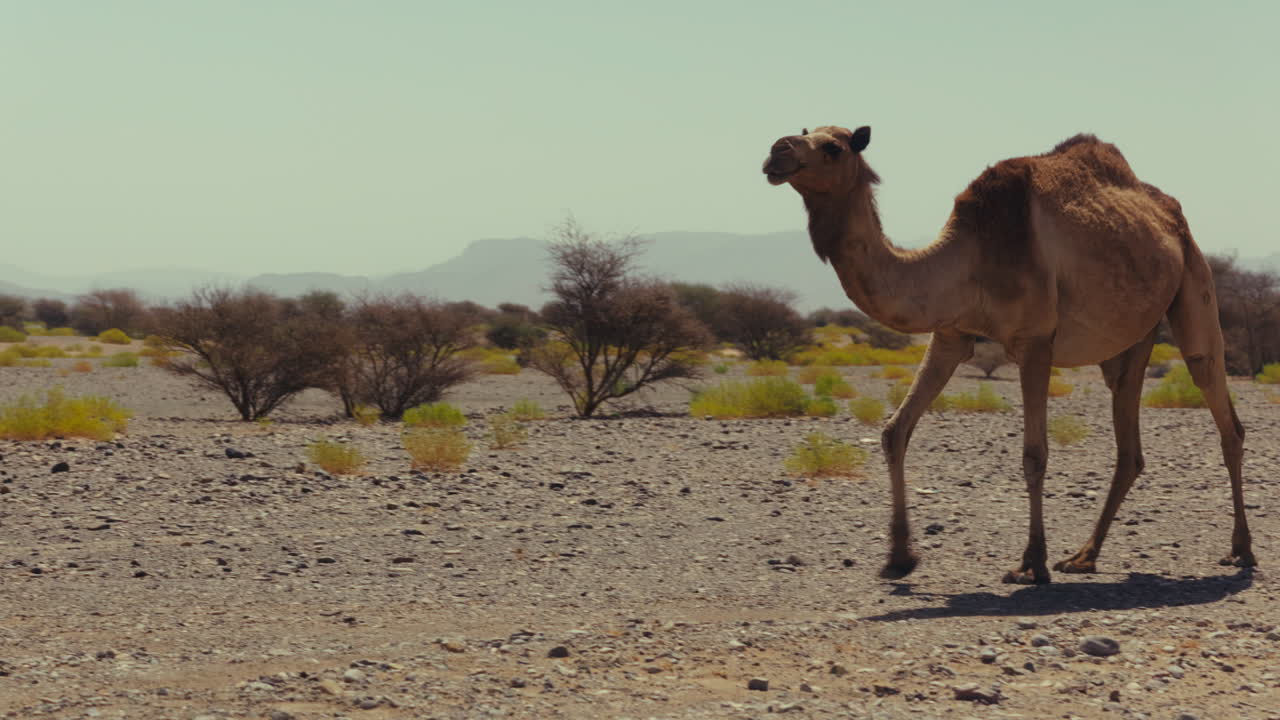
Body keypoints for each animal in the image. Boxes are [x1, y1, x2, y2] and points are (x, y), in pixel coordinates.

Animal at [762, 125, 1255, 584]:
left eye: (833, 147)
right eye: (803, 132)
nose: (776, 151)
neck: (967, 257)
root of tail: (1169, 215)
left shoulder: (1035, 341)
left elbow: (1034, 454)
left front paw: (1031, 563)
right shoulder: (949, 336)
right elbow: (894, 431)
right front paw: (899, 558)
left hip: (1194, 285)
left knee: (1221, 407)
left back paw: (1242, 551)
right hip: (1133, 338)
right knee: (1130, 446)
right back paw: (1084, 556)